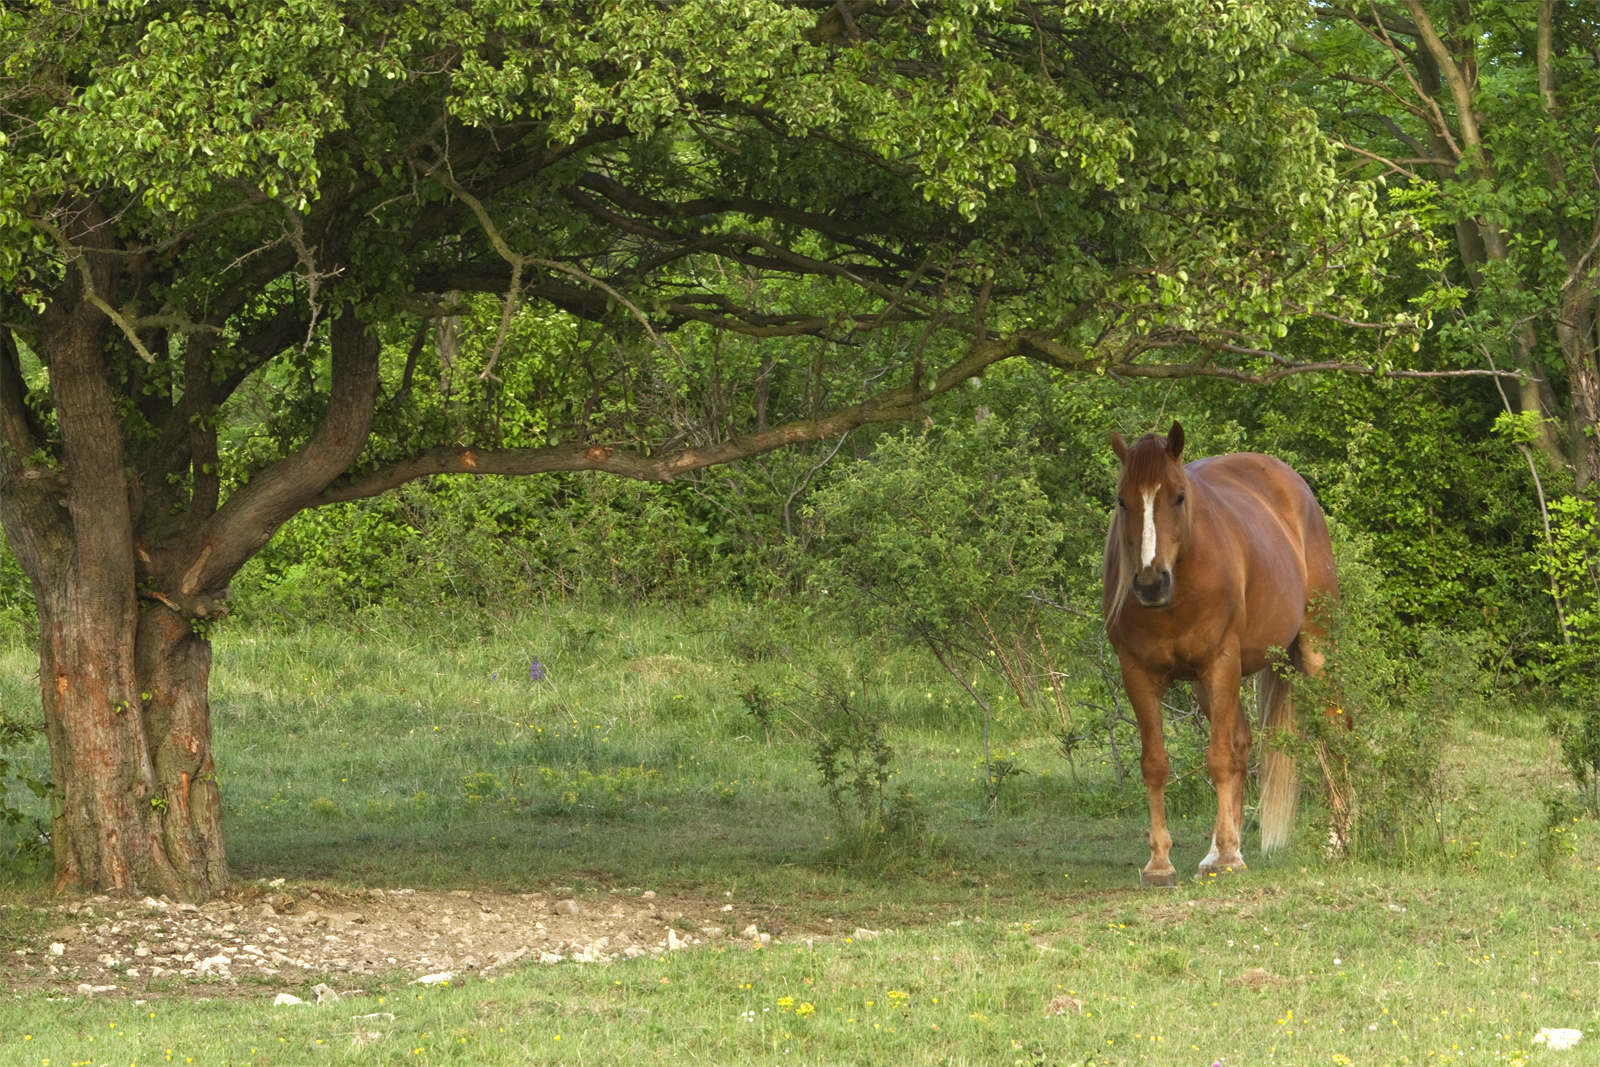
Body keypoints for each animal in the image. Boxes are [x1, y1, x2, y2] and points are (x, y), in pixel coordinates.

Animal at [1100, 422, 1337, 889]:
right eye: (1122, 500)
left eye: (1178, 496)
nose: (1150, 584)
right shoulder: (1137, 672)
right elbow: (1155, 763)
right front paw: (1161, 863)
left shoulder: (1222, 661)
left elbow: (1220, 758)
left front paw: (1228, 859)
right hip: (1202, 684)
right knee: (1243, 741)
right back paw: (1218, 849)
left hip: (1315, 650)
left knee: (1334, 730)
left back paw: (1340, 840)